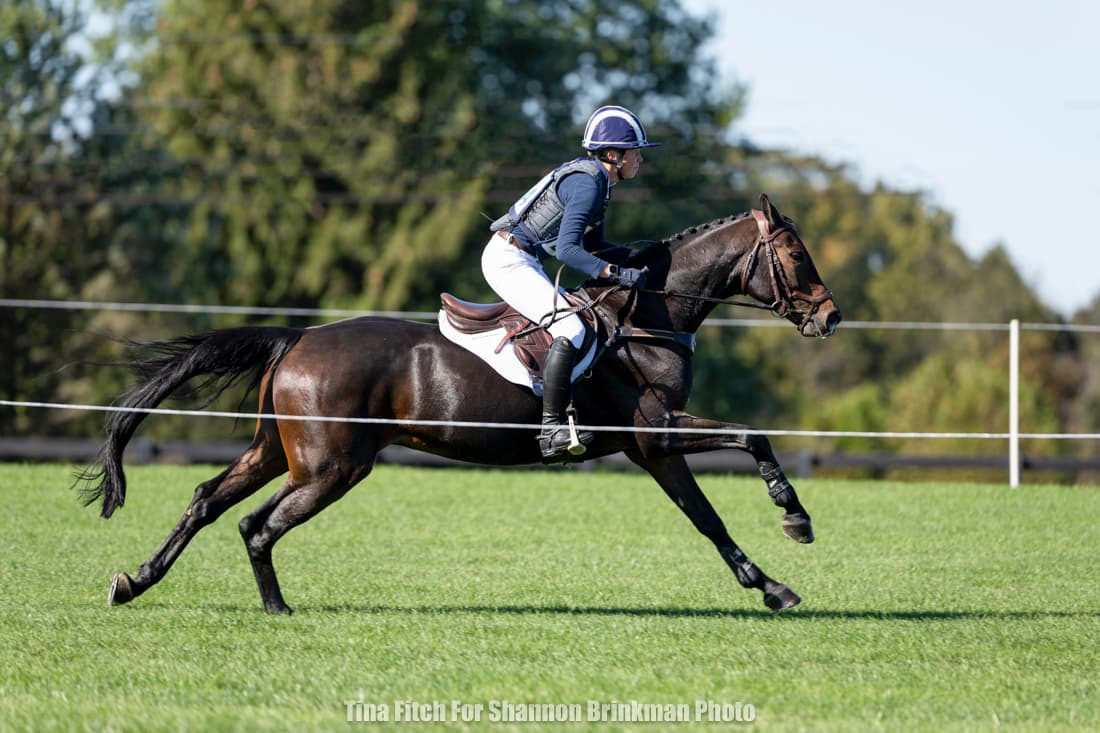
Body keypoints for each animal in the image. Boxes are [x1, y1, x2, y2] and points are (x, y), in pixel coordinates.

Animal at [79, 193, 841, 614]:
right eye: (796, 256)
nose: (829, 318)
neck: (648, 315)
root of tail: (297, 336)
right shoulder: (655, 435)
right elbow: (742, 456)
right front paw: (792, 528)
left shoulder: (649, 446)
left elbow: (714, 502)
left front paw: (773, 575)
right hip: (331, 466)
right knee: (257, 525)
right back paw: (276, 608)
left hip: (280, 451)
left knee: (209, 501)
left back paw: (134, 582)